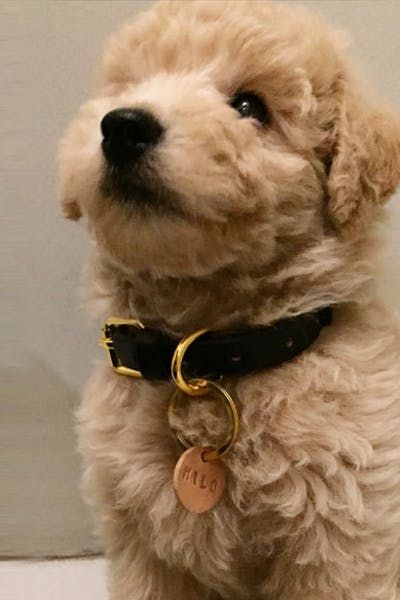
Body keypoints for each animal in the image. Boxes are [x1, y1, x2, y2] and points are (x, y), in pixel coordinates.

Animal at [59, 1, 400, 600]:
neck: (207, 357)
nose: (123, 125)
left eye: (250, 107)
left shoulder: (344, 544)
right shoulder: (143, 549)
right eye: (131, 86)